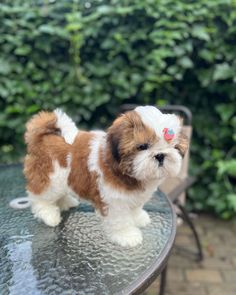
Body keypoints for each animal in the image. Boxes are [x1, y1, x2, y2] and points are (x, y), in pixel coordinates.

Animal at [24, 106, 188, 247]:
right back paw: (49, 214)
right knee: (40, 197)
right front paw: (127, 235)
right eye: (143, 146)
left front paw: (138, 218)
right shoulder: (114, 201)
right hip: (50, 178)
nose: (160, 155)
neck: (126, 171)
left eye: (174, 147)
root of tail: (42, 138)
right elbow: (120, 219)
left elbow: (135, 207)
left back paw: (65, 202)